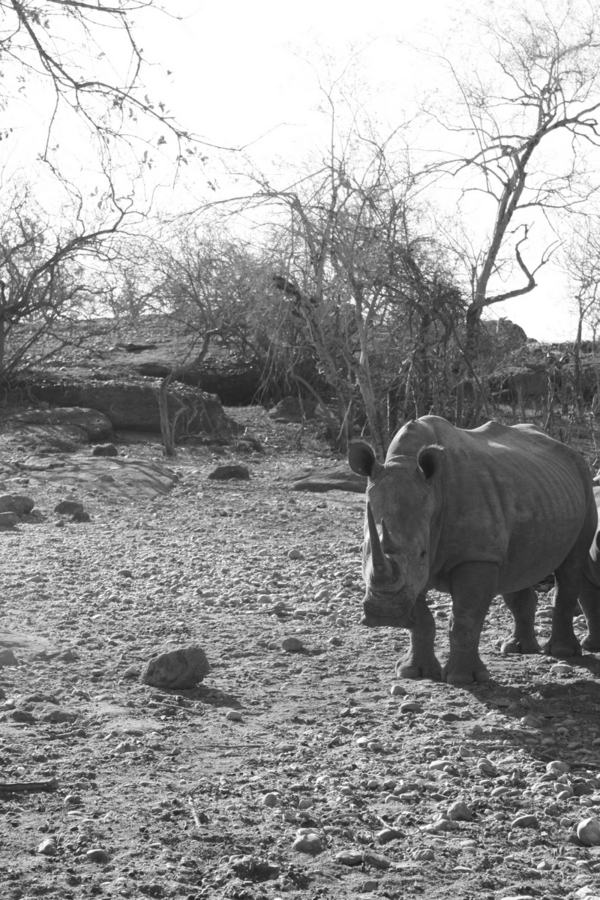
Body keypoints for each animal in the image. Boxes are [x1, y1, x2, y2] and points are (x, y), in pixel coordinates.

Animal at [348, 415, 600, 685]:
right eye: (363, 551)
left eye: (422, 554)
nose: (386, 614)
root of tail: (570, 451)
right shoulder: (414, 574)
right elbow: (421, 619)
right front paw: (413, 673)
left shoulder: (477, 556)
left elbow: (465, 618)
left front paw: (462, 679)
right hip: (536, 492)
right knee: (517, 569)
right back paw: (517, 649)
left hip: (585, 487)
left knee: (571, 566)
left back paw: (562, 652)